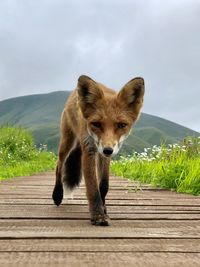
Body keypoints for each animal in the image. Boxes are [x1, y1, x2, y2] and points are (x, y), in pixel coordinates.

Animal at [52, 75, 145, 226]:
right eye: (96, 124)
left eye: (121, 125)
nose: (107, 150)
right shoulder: (89, 150)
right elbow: (92, 187)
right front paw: (98, 215)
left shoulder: (105, 155)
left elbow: (104, 185)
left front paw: (104, 208)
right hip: (67, 142)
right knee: (59, 164)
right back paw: (57, 194)